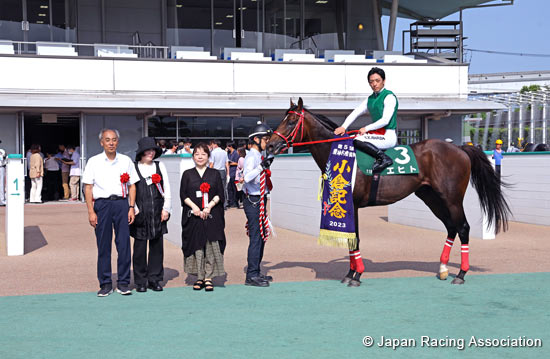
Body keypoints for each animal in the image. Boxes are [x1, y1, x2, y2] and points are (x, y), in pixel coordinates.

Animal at [268, 97, 512, 286]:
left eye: (291, 121)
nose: (270, 145)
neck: (340, 153)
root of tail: (460, 148)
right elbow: (351, 240)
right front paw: (350, 273)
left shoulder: (353, 203)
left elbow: (355, 239)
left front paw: (357, 275)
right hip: (431, 198)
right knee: (451, 227)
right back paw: (443, 269)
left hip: (452, 199)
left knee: (463, 228)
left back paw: (461, 274)